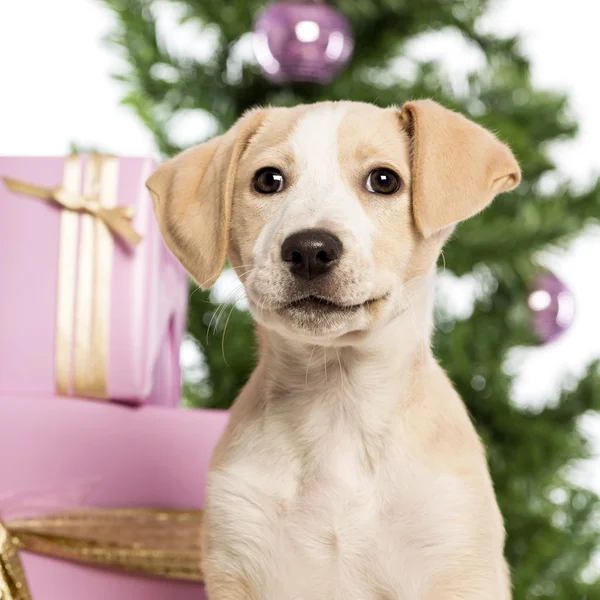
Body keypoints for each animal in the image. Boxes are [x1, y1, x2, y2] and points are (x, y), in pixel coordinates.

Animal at [146, 101, 520, 596]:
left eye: (384, 180)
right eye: (268, 180)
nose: (309, 249)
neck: (337, 404)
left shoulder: (456, 560)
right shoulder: (238, 554)